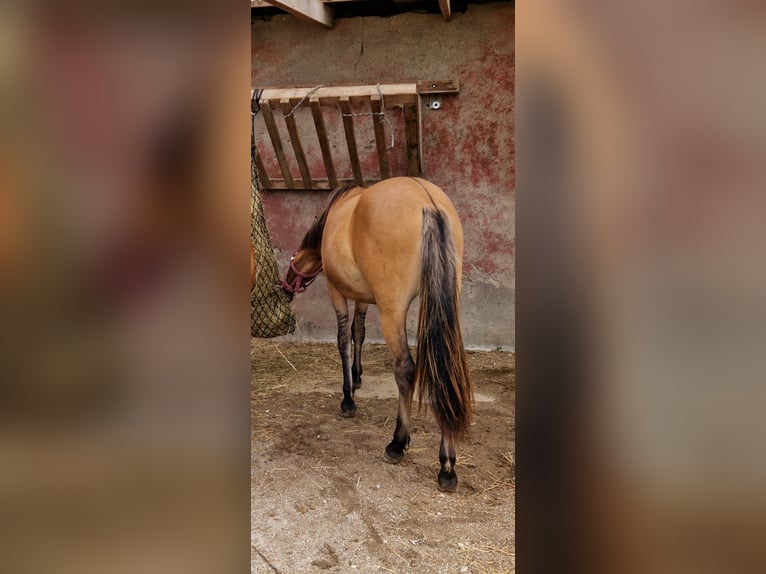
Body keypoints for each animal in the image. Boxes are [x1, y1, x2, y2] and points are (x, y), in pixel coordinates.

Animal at [282, 176, 474, 490]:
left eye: (293, 259)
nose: (285, 285)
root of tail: (428, 203)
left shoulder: (337, 292)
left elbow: (344, 340)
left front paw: (348, 398)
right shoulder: (362, 296)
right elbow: (358, 332)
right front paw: (357, 375)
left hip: (392, 309)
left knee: (406, 369)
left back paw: (398, 443)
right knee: (444, 370)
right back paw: (447, 465)